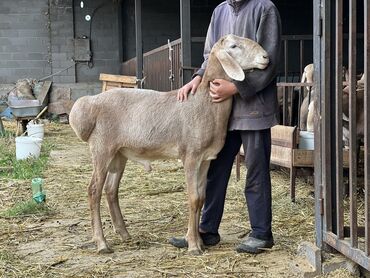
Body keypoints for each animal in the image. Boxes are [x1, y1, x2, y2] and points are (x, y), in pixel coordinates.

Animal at [68, 33, 268, 255]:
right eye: (233, 46)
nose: (265, 57)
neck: (204, 102)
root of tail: (88, 104)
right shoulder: (190, 155)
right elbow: (193, 198)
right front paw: (193, 246)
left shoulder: (205, 158)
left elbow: (202, 198)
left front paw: (198, 241)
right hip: (102, 148)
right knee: (94, 190)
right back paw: (101, 243)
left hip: (119, 153)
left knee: (111, 190)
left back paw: (124, 234)